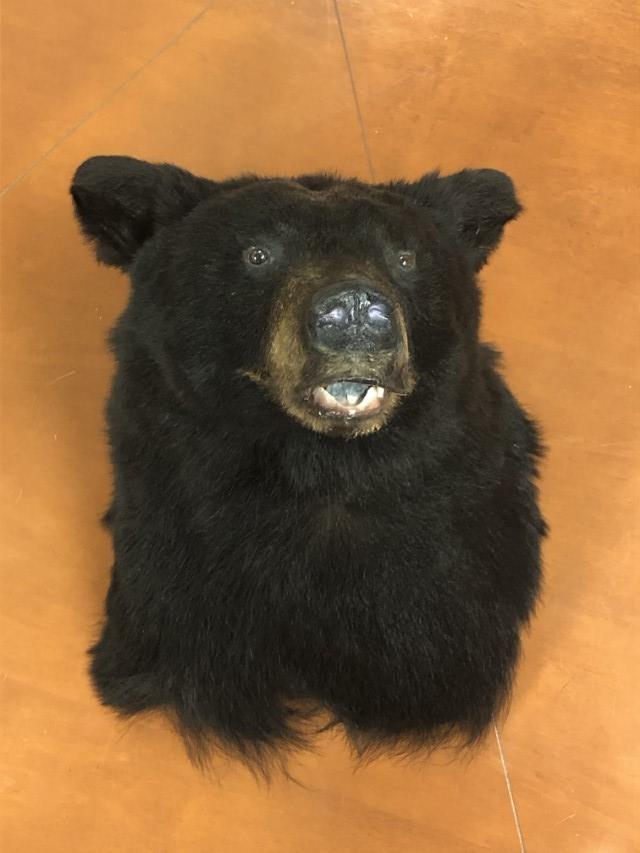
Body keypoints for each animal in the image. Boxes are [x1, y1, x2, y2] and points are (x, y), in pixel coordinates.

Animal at [70, 156, 546, 774]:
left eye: (405, 258)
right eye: (257, 254)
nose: (355, 313)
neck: (320, 467)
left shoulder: (459, 537)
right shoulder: (173, 523)